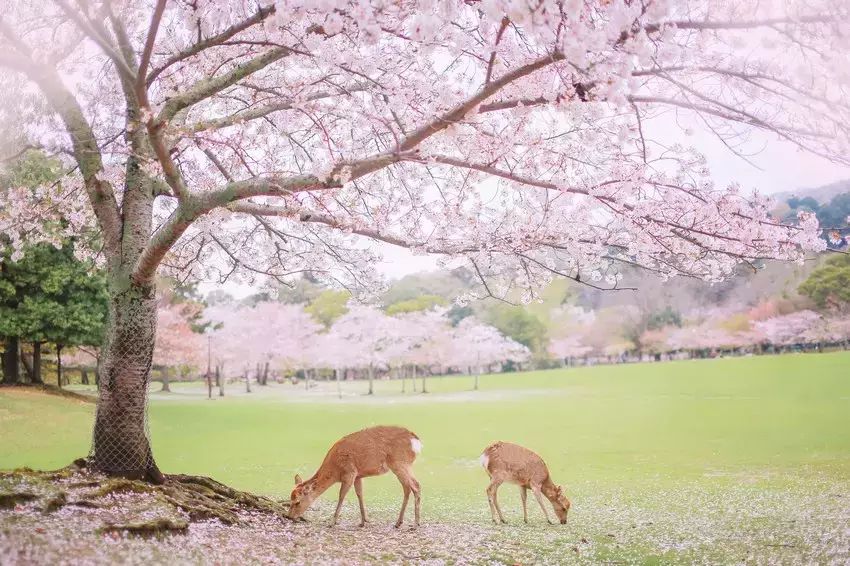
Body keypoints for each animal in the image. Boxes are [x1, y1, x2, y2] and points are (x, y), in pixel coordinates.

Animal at [286, 428, 422, 532]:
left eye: (297, 502)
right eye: (290, 499)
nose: (289, 516)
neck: (335, 471)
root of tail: (416, 441)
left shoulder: (349, 473)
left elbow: (341, 496)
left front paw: (332, 523)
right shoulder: (358, 476)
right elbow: (359, 494)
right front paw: (363, 521)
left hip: (400, 463)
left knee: (416, 485)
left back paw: (415, 525)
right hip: (401, 466)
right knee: (407, 488)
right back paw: (398, 522)